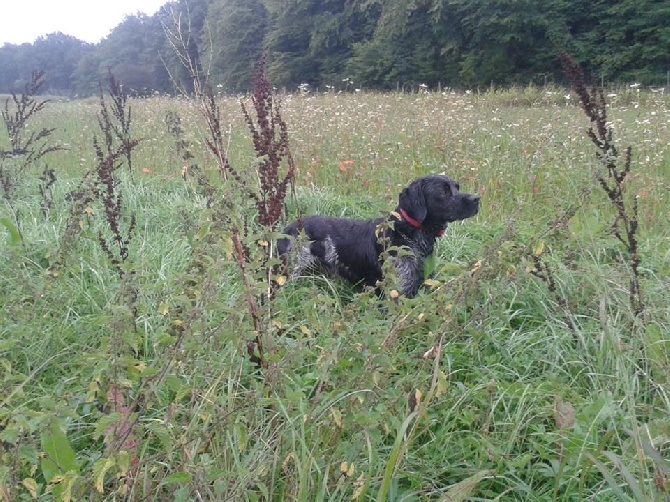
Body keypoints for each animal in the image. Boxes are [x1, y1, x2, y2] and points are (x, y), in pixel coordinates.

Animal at [278, 175, 484, 298]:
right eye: (443, 191)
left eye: (457, 187)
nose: (477, 199)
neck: (407, 233)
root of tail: (287, 228)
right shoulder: (396, 293)